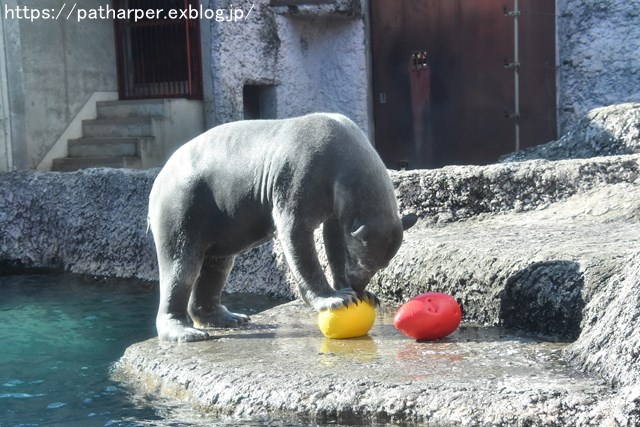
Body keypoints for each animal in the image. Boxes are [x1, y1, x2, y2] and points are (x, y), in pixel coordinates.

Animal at [146, 112, 416, 342]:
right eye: (365, 264)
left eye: (381, 266)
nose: (359, 287)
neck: (341, 147)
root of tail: (159, 180)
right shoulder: (302, 172)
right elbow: (296, 231)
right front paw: (334, 299)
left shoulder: (334, 200)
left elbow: (335, 236)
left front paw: (360, 294)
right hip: (186, 203)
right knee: (183, 264)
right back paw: (185, 331)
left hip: (217, 220)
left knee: (217, 264)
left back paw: (229, 317)